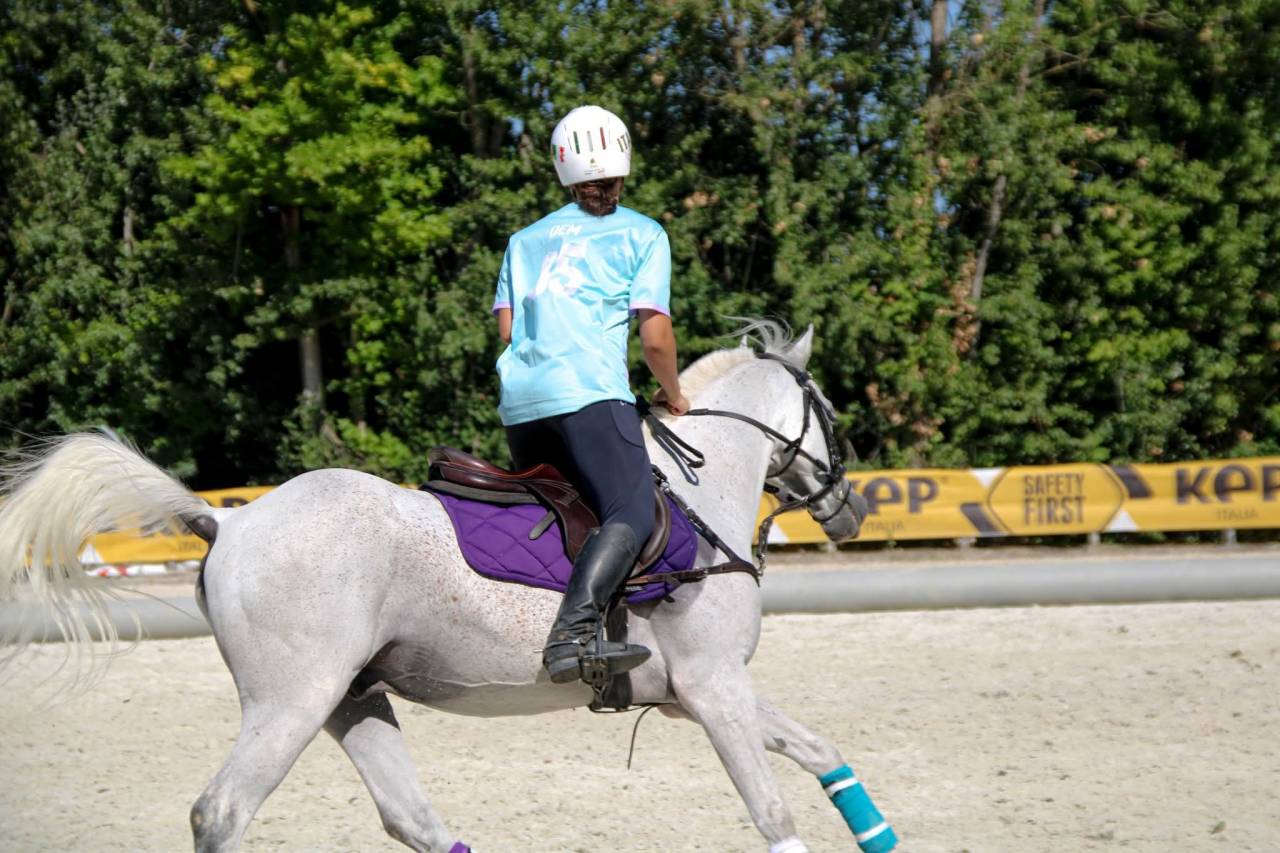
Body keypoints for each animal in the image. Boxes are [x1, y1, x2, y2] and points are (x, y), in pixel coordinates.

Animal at [0, 321, 896, 853]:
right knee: (222, 812)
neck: (698, 490)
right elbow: (774, 812)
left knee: (412, 819)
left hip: (350, 696)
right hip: (291, 702)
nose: (852, 509)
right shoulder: (713, 690)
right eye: (832, 411)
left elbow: (823, 750)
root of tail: (229, 521)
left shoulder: (700, 693)